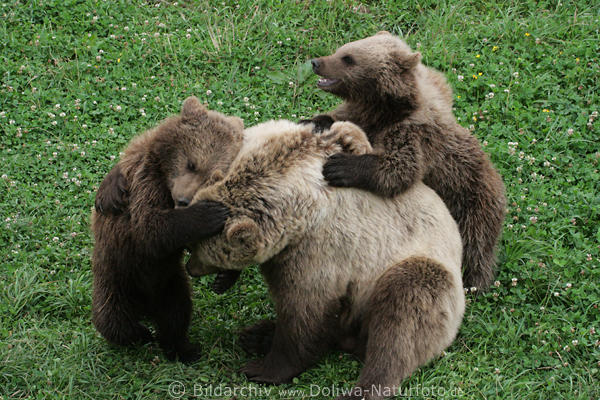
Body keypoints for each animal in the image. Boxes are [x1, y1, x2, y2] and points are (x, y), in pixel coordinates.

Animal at [186, 119, 464, 400]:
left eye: (203, 253)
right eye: (190, 246)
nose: (190, 269)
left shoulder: (316, 249)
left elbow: (305, 311)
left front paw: (261, 369)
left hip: (419, 279)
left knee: (403, 314)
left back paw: (363, 387)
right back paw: (257, 334)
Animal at [308, 31, 504, 290]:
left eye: (348, 58)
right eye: (342, 49)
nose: (316, 62)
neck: (385, 109)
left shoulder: (414, 134)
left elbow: (399, 168)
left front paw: (340, 166)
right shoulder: (363, 114)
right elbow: (338, 118)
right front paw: (314, 121)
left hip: (472, 206)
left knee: (475, 250)